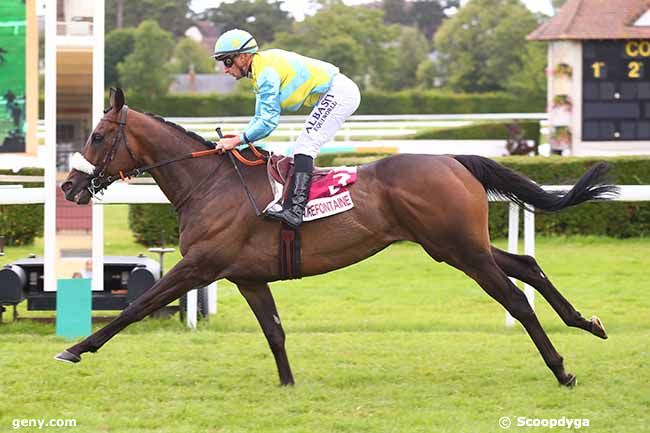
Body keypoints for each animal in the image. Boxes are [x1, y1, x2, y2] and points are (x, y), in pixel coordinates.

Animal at [58, 89, 616, 386]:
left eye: (98, 135)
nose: (68, 186)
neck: (210, 183)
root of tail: (454, 159)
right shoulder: (246, 276)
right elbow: (275, 331)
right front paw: (288, 384)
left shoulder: (198, 264)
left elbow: (136, 306)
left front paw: (76, 349)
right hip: (455, 245)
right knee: (526, 265)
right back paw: (586, 322)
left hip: (460, 250)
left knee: (516, 301)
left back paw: (561, 369)